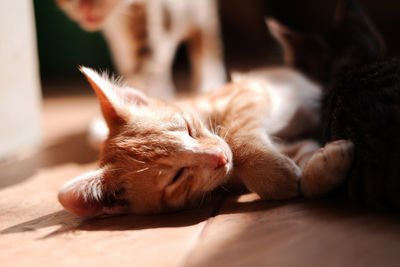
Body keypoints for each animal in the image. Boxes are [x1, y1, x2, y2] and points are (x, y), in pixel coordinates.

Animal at [55, 0, 228, 98]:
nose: (84, 8)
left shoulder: (150, 21)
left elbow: (144, 75)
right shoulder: (119, 42)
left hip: (202, 15)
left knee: (206, 42)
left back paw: (209, 83)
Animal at [58, 66, 354, 218]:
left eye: (189, 129)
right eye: (177, 176)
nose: (221, 157)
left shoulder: (250, 90)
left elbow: (235, 134)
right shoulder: (288, 143)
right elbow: (302, 155)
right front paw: (319, 170)